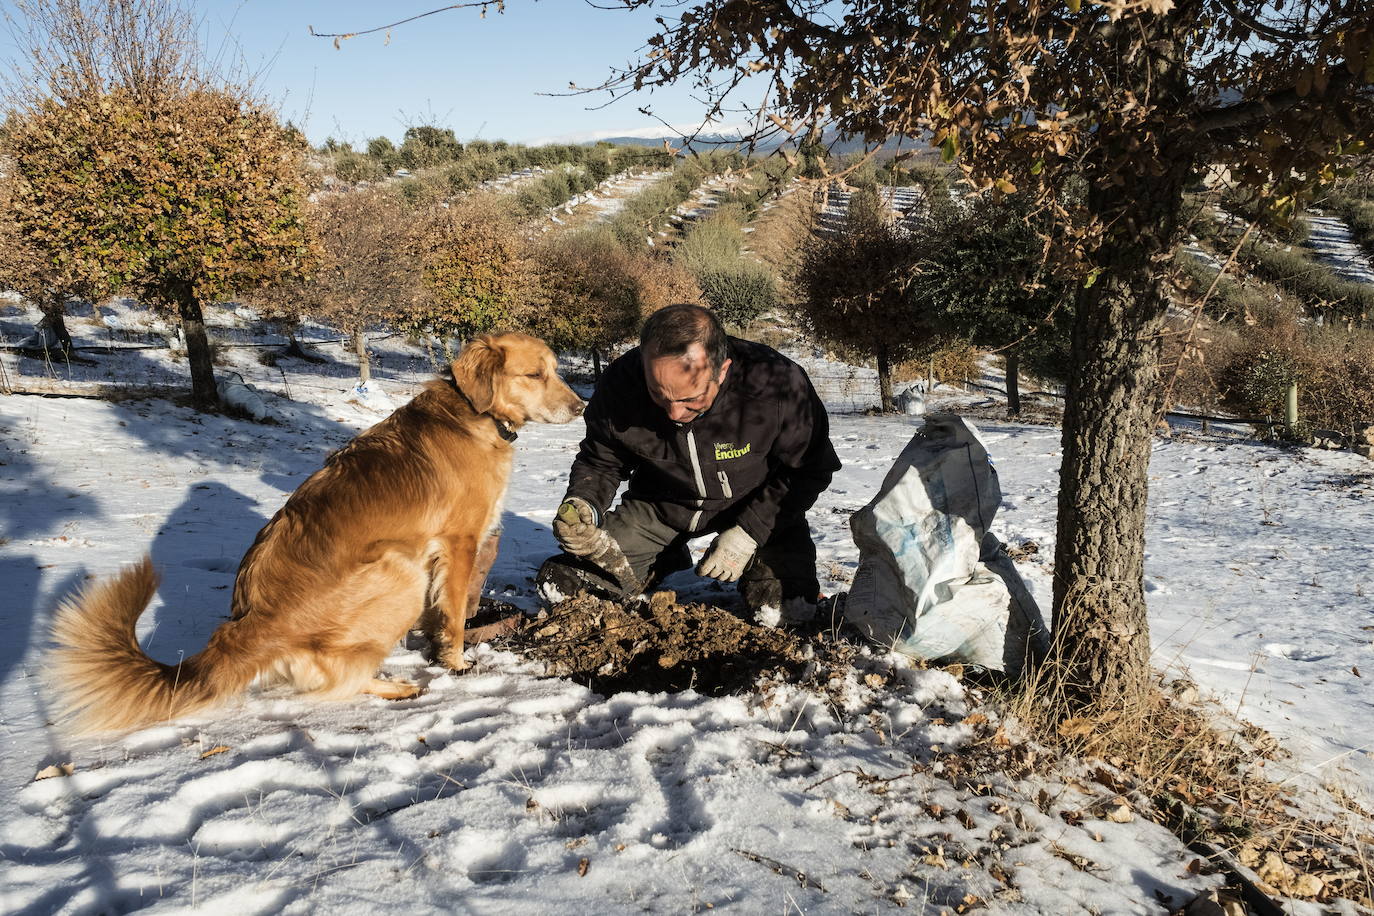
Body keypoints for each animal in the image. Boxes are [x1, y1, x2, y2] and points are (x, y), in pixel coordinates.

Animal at [48, 333, 582, 736]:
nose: (581, 407)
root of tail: (250, 624)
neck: (475, 412)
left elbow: (438, 614)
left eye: (556, 370)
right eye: (535, 375)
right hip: (398, 571)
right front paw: (455, 662)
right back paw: (394, 686)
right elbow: (452, 614)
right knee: (338, 681)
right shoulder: (459, 542)